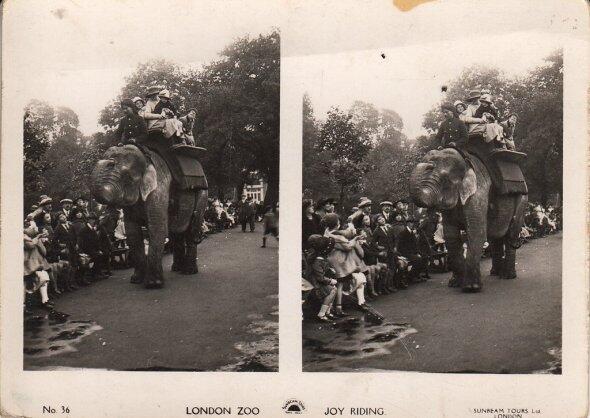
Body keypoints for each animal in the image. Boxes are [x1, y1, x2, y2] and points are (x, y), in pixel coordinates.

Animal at [88, 144, 208, 288]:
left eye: (127, 176)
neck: (146, 160)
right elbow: (132, 231)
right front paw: (136, 280)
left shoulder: (160, 186)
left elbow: (157, 228)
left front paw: (153, 285)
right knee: (176, 232)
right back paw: (176, 269)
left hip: (202, 194)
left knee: (191, 231)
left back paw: (189, 271)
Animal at [412, 149, 528, 292]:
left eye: (444, 178)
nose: (428, 164)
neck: (465, 162)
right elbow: (451, 235)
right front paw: (455, 284)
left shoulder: (479, 190)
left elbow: (476, 231)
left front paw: (470, 288)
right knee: (495, 237)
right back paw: (495, 273)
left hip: (522, 200)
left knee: (510, 234)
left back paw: (507, 276)